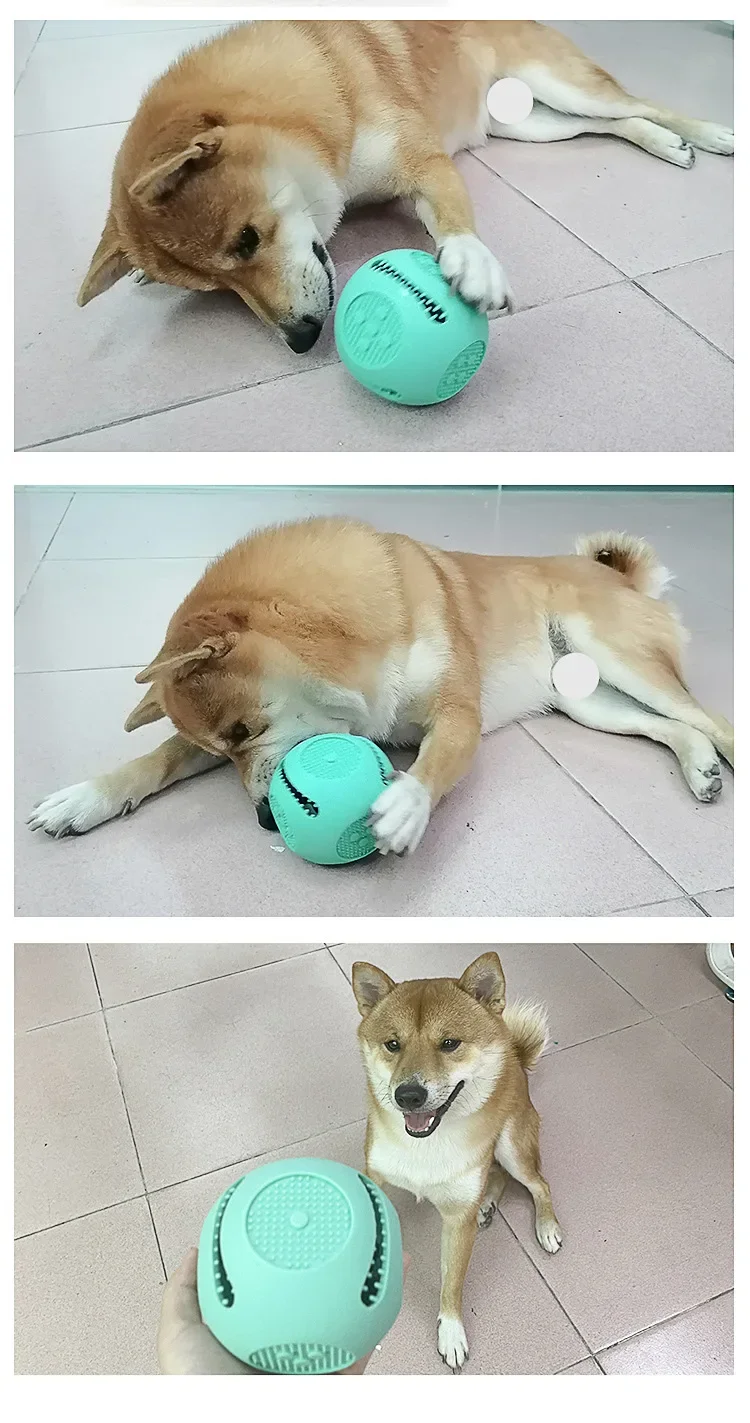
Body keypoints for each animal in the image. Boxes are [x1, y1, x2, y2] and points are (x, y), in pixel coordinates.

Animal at [28, 516, 734, 851]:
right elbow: (159, 758)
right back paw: (699, 768)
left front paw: (405, 805)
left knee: (710, 720)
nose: (265, 818)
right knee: (671, 728)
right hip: (587, 701)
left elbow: (436, 762)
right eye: (220, 748)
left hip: (619, 659)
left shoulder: (456, 713)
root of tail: (617, 575)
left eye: (244, 729)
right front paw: (86, 798)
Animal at [77, 19, 733, 350]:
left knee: (637, 104)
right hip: (531, 124)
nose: (301, 339)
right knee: (616, 122)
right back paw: (664, 143)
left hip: (558, 87)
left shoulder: (422, 162)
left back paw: (708, 134)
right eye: (219, 290)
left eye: (246, 239)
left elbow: (451, 214)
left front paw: (472, 261)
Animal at [352, 951, 560, 1371]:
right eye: (392, 1044)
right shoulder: (375, 1176)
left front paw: (451, 1333)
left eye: (449, 1043)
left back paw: (545, 1225)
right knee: (496, 1177)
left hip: (511, 1146)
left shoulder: (456, 1222)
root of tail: (515, 1057)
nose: (408, 1095)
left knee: (537, 1183)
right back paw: (487, 1203)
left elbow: (453, 1284)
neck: (425, 1144)